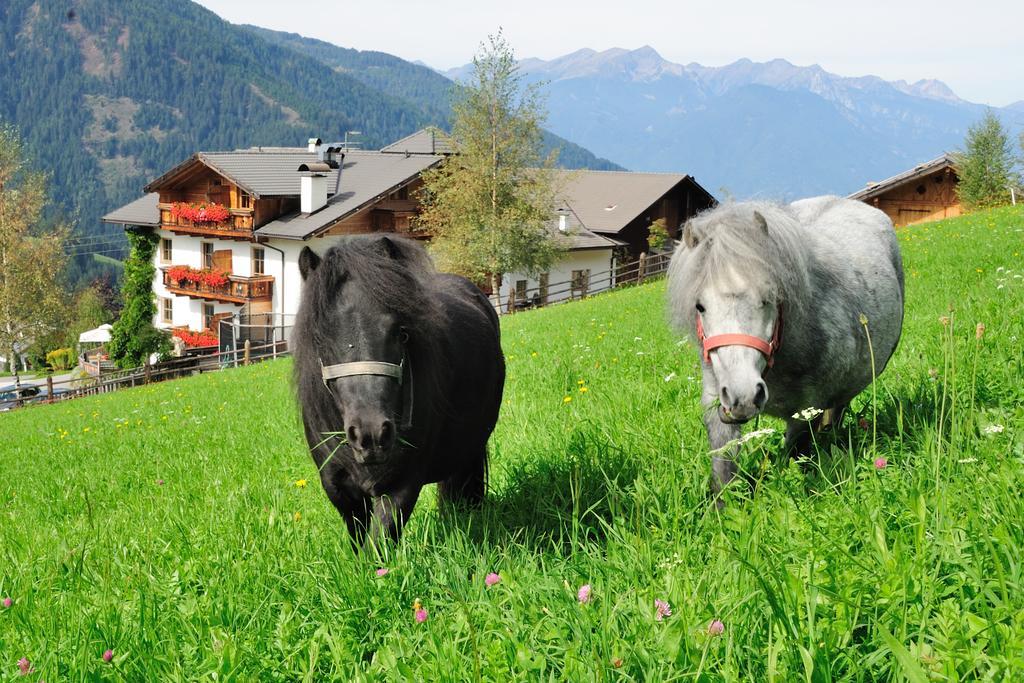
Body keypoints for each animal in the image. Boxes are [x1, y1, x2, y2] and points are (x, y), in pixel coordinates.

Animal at [292, 235, 503, 544]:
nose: (371, 434)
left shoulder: (401, 487)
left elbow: (379, 545)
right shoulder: (341, 492)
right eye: (319, 337)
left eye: (399, 331)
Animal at [671, 194, 905, 493]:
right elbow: (724, 473)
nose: (743, 397)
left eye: (768, 298)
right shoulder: (716, 402)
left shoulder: (805, 412)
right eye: (700, 306)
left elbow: (794, 459)